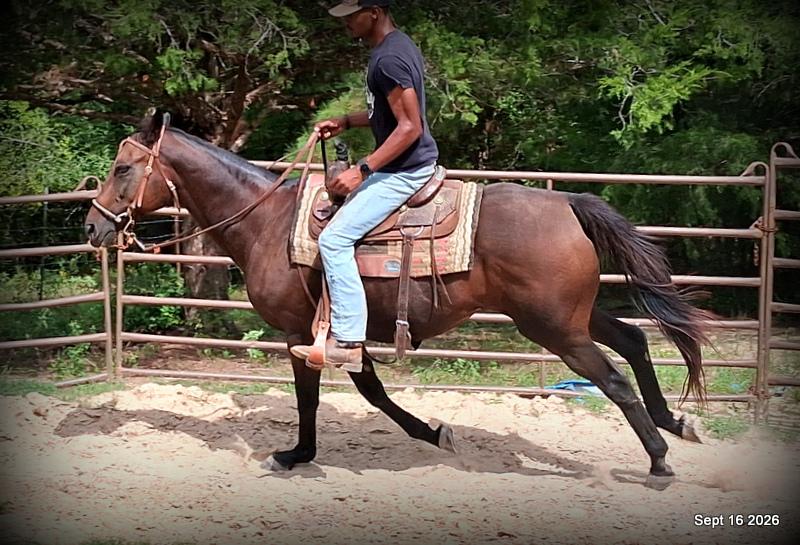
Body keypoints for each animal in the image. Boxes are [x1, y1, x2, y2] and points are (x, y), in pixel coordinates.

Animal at [85, 112, 710, 487]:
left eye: (122, 167)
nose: (93, 227)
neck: (265, 222)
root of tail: (567, 205)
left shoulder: (299, 335)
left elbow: (316, 399)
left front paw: (295, 455)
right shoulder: (345, 335)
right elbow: (373, 391)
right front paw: (433, 432)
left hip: (554, 328)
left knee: (614, 380)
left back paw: (659, 459)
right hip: (575, 316)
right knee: (634, 341)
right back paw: (676, 425)